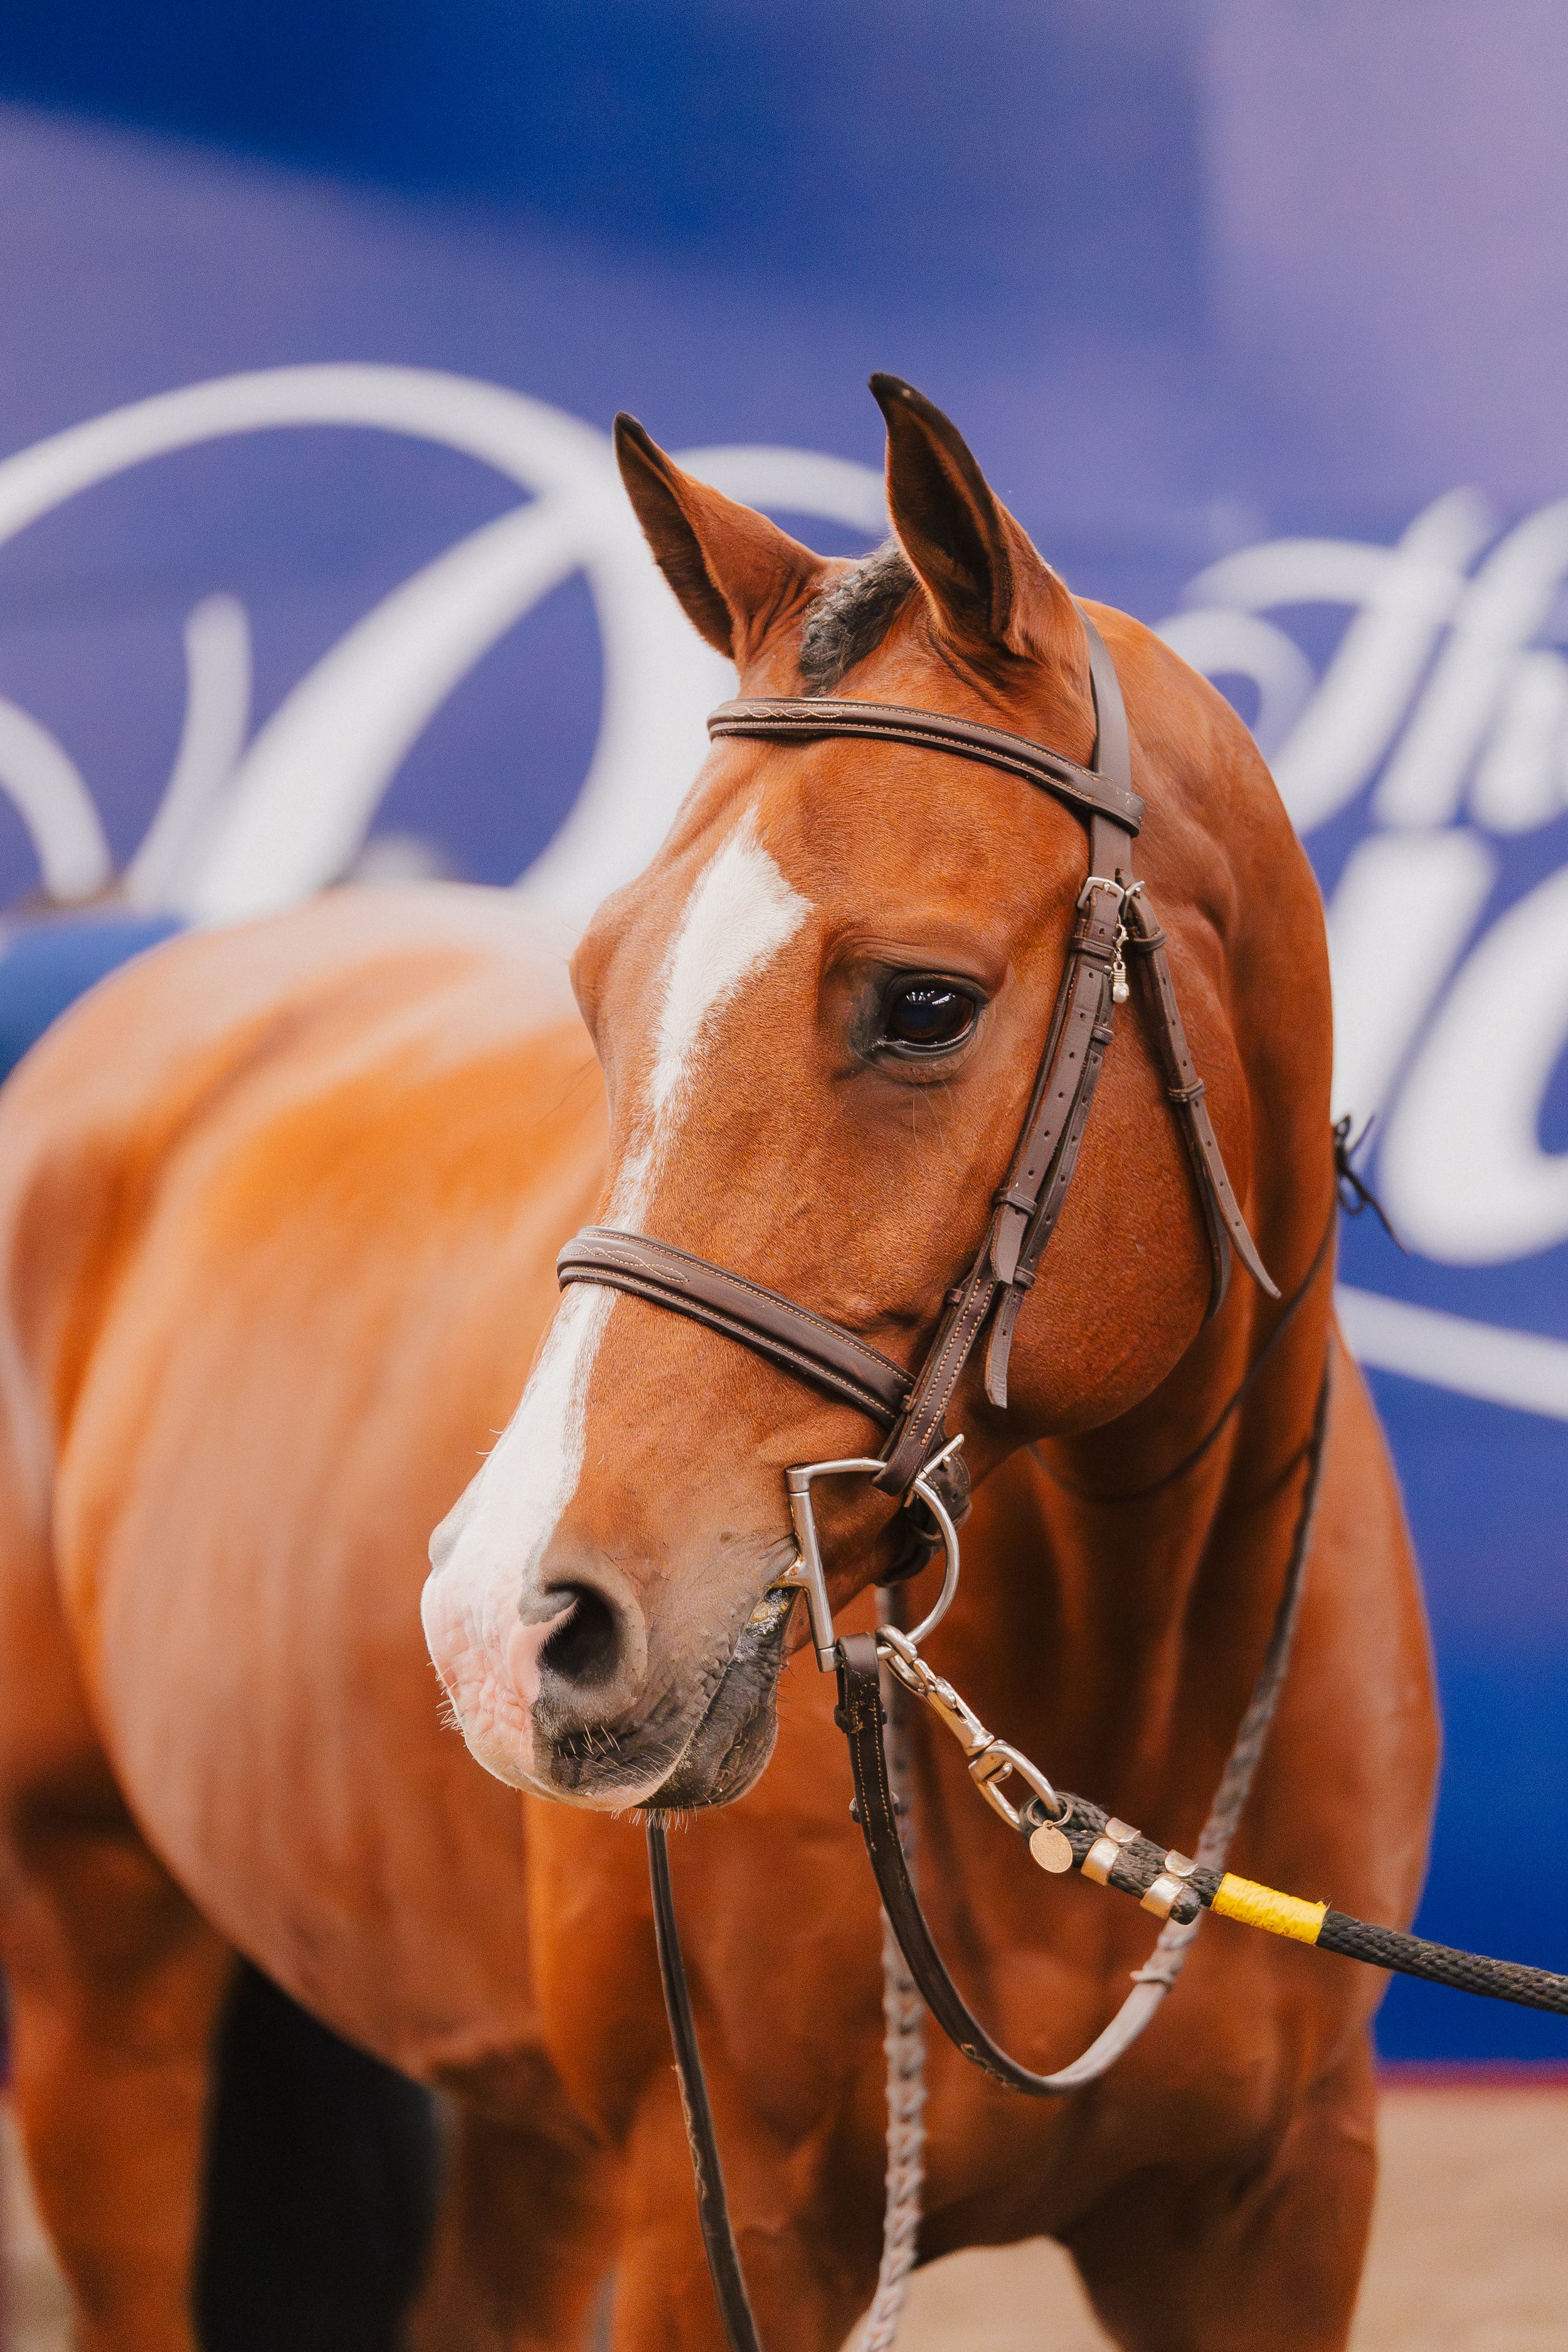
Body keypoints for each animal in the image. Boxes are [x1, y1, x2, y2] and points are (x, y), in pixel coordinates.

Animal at [0, 375, 1437, 2351]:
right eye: (596, 984)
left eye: (925, 1001)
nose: (507, 1616)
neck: (1125, 1689)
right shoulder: (727, 2225)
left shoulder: (1275, 2211)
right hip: (100, 1968)